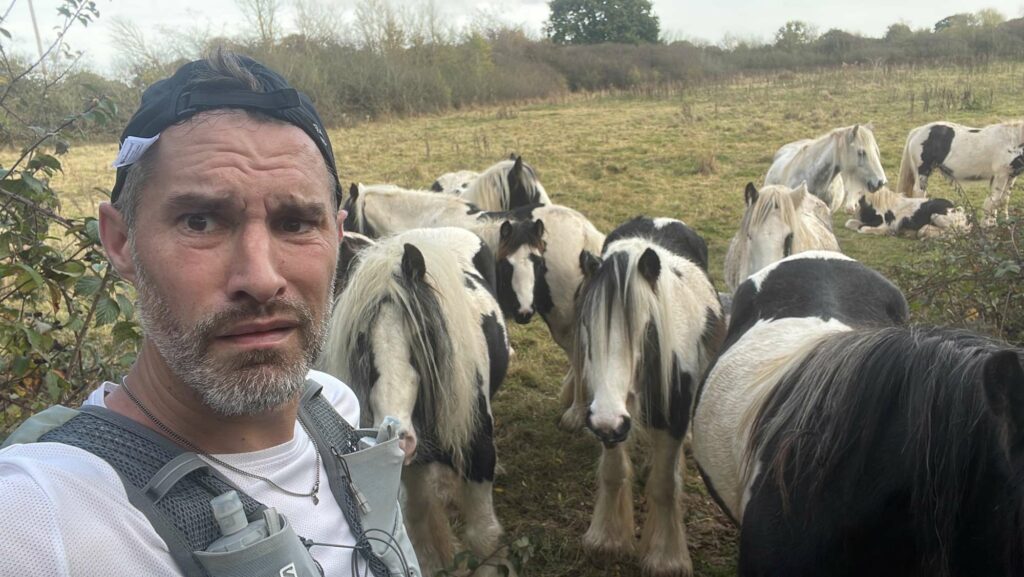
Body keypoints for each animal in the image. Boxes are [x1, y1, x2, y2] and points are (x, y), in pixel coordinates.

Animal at [319, 226, 512, 577]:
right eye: (361, 339)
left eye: (421, 335)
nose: (398, 436)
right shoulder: (413, 468)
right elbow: (420, 530)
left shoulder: (479, 459)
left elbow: (484, 536)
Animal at [577, 217, 729, 577]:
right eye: (586, 324)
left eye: (647, 328)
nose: (607, 419)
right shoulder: (610, 421)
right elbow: (613, 473)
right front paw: (607, 538)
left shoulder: (670, 420)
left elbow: (664, 486)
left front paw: (666, 558)